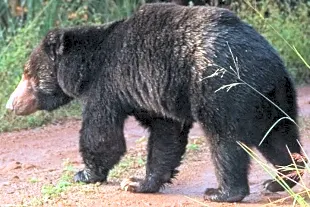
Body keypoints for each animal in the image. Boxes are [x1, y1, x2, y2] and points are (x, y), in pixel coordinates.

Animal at [6, 2, 304, 202]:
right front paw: (139, 182)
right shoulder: (151, 93)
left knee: (225, 141)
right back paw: (281, 179)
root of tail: (268, 62)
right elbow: (165, 135)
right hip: (273, 98)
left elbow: (101, 133)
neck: (85, 67)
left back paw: (223, 191)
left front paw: (86, 173)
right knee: (279, 137)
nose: (10, 104)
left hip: (223, 90)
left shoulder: (108, 85)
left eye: (27, 73)